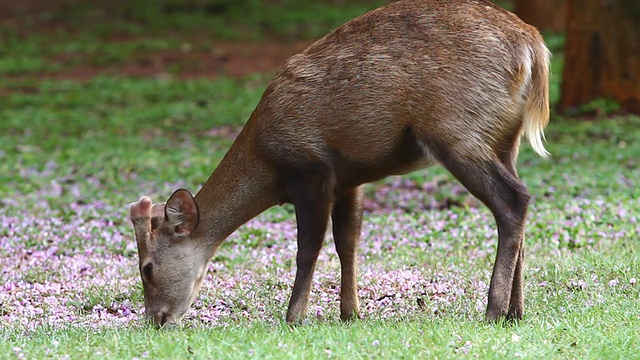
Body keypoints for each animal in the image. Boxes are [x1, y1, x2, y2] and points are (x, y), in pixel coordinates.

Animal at [129, 0, 552, 328]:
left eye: (147, 267)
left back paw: (494, 310)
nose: (155, 319)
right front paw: (351, 313)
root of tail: (534, 48)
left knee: (512, 199)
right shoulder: (351, 177)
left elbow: (307, 248)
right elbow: (347, 241)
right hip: (504, 139)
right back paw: (516, 311)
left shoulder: (310, 170)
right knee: (518, 205)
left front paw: (293, 317)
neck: (268, 164)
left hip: (457, 131)